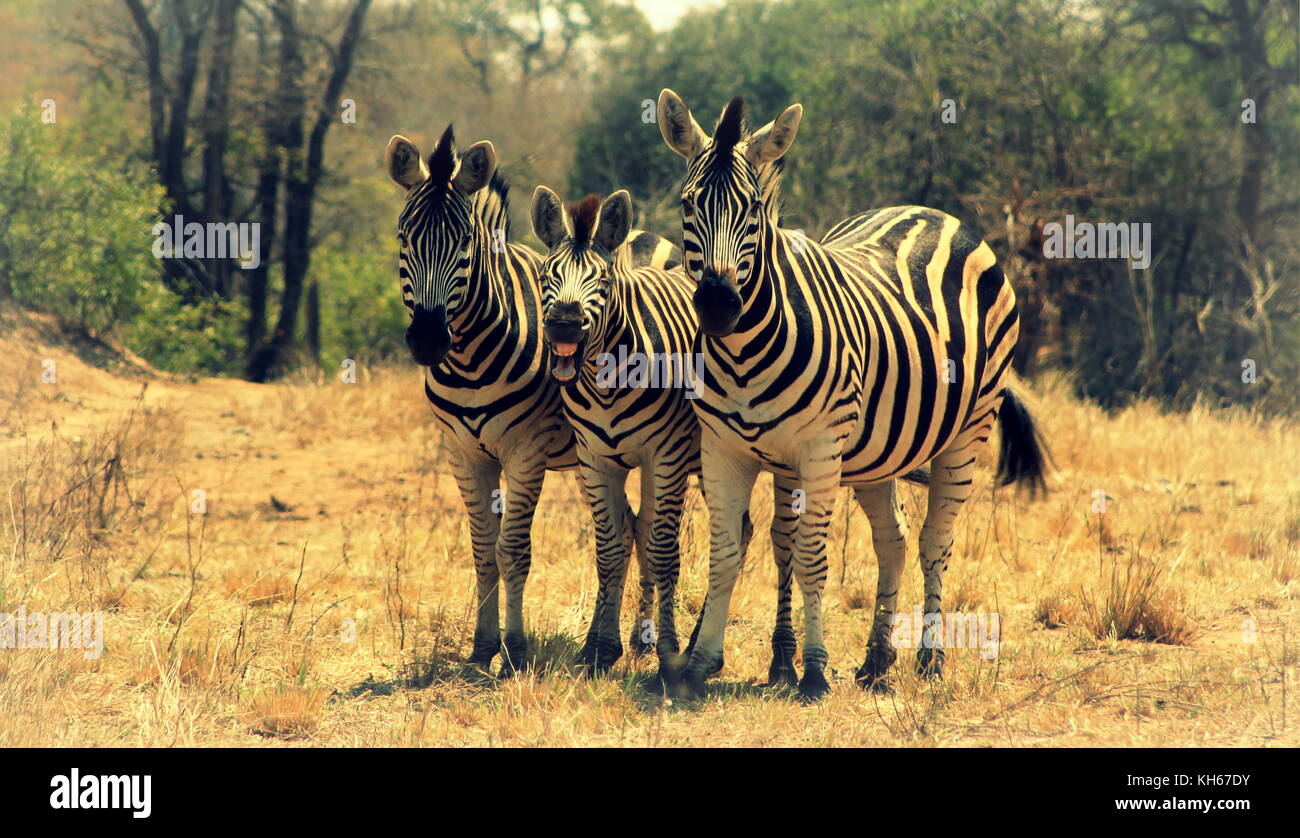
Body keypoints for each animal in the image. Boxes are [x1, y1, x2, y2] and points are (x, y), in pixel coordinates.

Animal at [384, 124, 681, 675]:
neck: (471, 360)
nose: (429, 341)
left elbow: (514, 549)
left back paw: (644, 639)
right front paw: (482, 648)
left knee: (649, 530)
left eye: (466, 243)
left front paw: (515, 651)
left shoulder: (527, 448)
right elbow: (483, 548)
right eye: (403, 237)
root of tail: (642, 237)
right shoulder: (463, 452)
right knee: (628, 528)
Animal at [527, 185, 712, 675]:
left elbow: (664, 550)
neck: (605, 380)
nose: (564, 324)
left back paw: (694, 641)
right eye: (546, 275)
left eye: (603, 281)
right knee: (644, 526)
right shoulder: (594, 459)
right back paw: (642, 639)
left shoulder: (666, 455)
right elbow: (611, 549)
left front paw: (670, 651)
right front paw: (600, 650)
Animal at [655, 89, 1050, 701]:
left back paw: (930, 660)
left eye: (753, 211)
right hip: (879, 451)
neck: (743, 353)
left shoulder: (818, 452)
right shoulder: (722, 449)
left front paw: (813, 671)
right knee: (893, 540)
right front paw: (699, 665)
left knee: (935, 542)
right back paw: (877, 660)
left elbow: (811, 558)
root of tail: (934, 213)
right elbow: (725, 554)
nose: (719, 306)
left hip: (967, 430)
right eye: (687, 205)